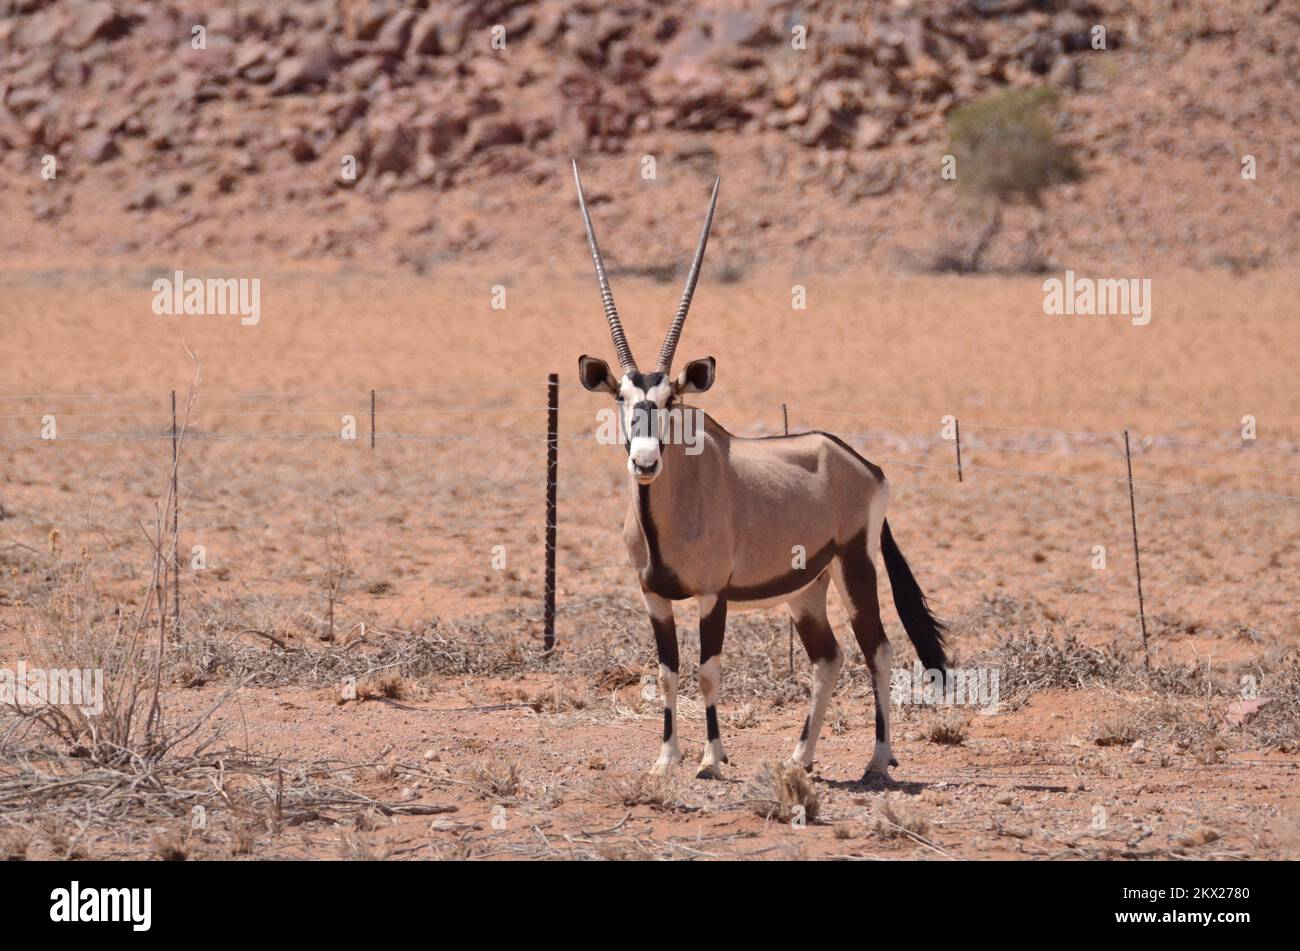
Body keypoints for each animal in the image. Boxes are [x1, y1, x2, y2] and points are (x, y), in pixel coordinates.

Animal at [569, 163, 946, 784]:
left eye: (672, 399)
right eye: (622, 396)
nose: (645, 461)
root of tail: (863, 464)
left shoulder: (712, 594)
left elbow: (707, 671)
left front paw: (710, 759)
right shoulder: (654, 597)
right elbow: (668, 672)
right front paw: (665, 759)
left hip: (855, 568)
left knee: (878, 650)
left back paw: (876, 760)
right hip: (808, 589)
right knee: (828, 658)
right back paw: (801, 757)